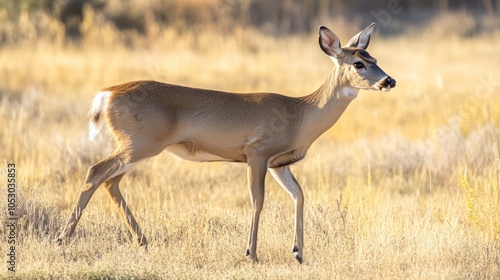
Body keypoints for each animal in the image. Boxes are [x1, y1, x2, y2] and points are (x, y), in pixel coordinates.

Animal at [57, 23, 394, 264]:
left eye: (375, 58)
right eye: (358, 63)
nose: (389, 80)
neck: (299, 114)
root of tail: (106, 94)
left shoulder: (279, 163)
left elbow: (299, 194)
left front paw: (299, 252)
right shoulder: (257, 153)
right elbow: (258, 200)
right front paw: (252, 254)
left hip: (137, 147)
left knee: (110, 181)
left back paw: (143, 241)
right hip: (139, 144)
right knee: (95, 172)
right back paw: (63, 239)